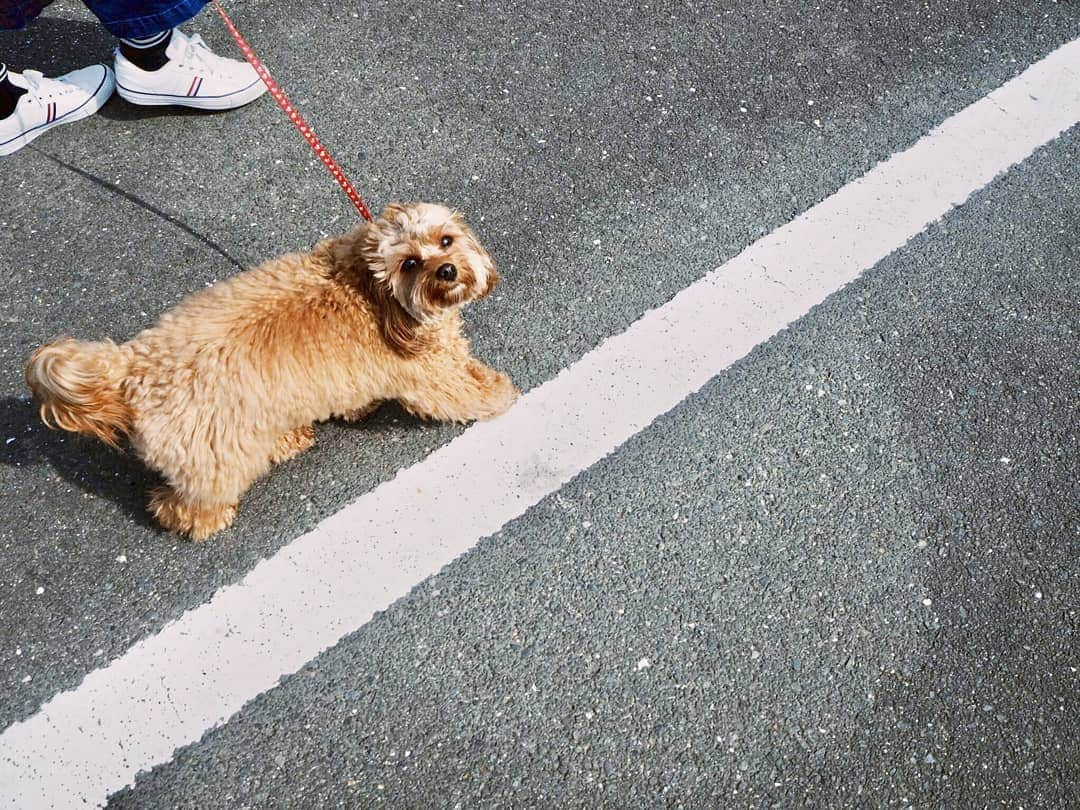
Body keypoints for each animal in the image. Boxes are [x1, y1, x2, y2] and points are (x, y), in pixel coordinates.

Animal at [22, 203, 518, 542]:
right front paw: (501, 393)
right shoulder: (430, 377)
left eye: (446, 240)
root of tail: (134, 368)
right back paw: (194, 520)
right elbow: (464, 390)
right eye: (411, 263)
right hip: (214, 459)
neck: (369, 288)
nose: (448, 270)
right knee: (189, 503)